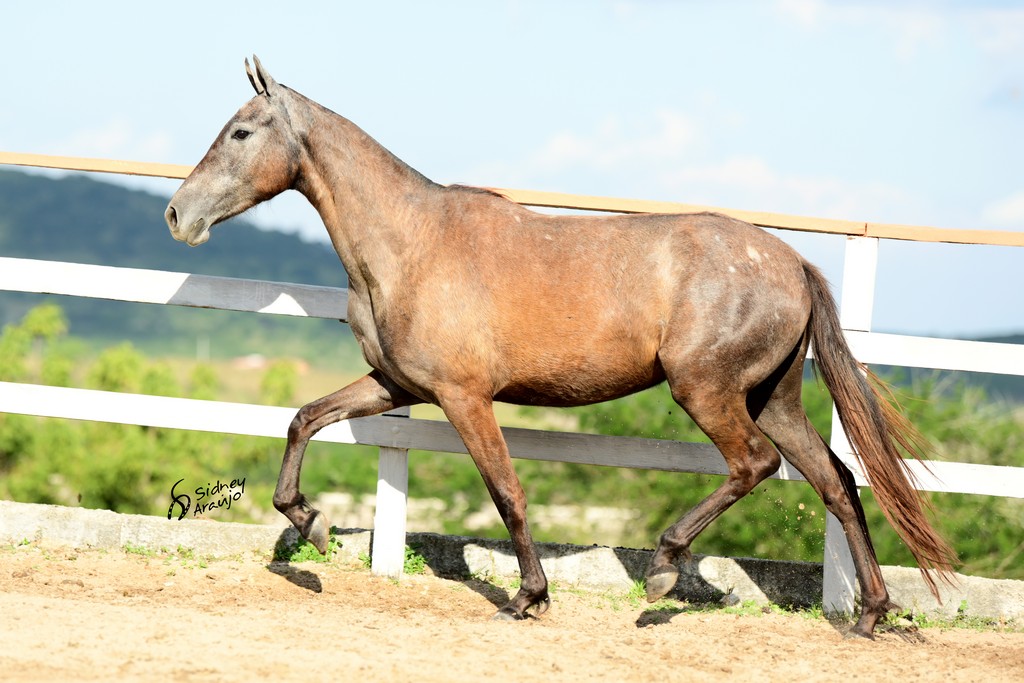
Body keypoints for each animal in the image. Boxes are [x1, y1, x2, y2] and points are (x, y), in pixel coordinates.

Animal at [163, 56, 954, 638]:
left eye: (240, 132)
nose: (177, 214)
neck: (409, 243)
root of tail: (793, 262)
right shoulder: (397, 384)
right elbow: (303, 418)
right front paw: (312, 525)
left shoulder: (463, 396)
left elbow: (507, 491)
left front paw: (529, 596)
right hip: (774, 397)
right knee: (838, 482)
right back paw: (870, 615)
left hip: (707, 390)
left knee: (754, 465)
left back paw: (664, 567)